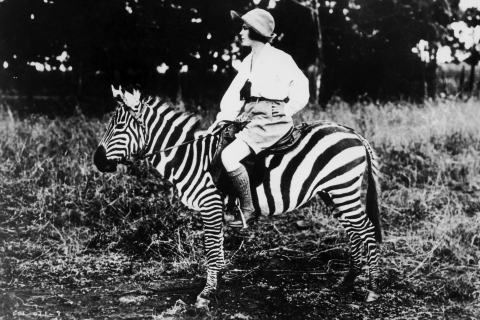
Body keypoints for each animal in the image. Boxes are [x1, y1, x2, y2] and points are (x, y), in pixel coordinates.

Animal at [94, 87, 382, 308]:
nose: (97, 162)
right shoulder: (215, 207)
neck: (192, 158)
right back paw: (347, 281)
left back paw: (372, 289)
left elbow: (211, 248)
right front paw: (217, 281)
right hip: (333, 192)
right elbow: (217, 248)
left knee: (367, 231)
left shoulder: (210, 203)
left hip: (342, 188)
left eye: (119, 126)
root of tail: (353, 132)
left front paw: (206, 293)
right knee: (354, 232)